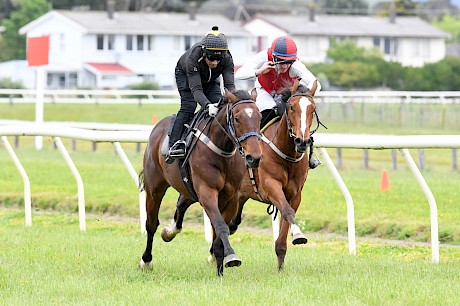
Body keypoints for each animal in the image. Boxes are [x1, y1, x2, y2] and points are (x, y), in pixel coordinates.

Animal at [137, 89, 262, 278]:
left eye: (260, 117)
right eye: (237, 118)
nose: (254, 158)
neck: (222, 150)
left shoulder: (230, 198)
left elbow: (219, 230)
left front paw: (220, 269)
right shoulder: (207, 191)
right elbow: (221, 226)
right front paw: (231, 256)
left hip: (188, 189)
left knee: (181, 204)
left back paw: (170, 232)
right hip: (155, 188)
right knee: (151, 224)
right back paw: (146, 261)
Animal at [161, 78, 320, 270]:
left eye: (312, 109)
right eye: (292, 107)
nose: (302, 141)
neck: (286, 154)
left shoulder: (295, 195)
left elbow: (284, 228)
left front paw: (281, 267)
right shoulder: (271, 185)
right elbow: (287, 211)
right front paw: (298, 234)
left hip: (236, 195)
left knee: (227, 221)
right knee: (184, 203)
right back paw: (170, 232)